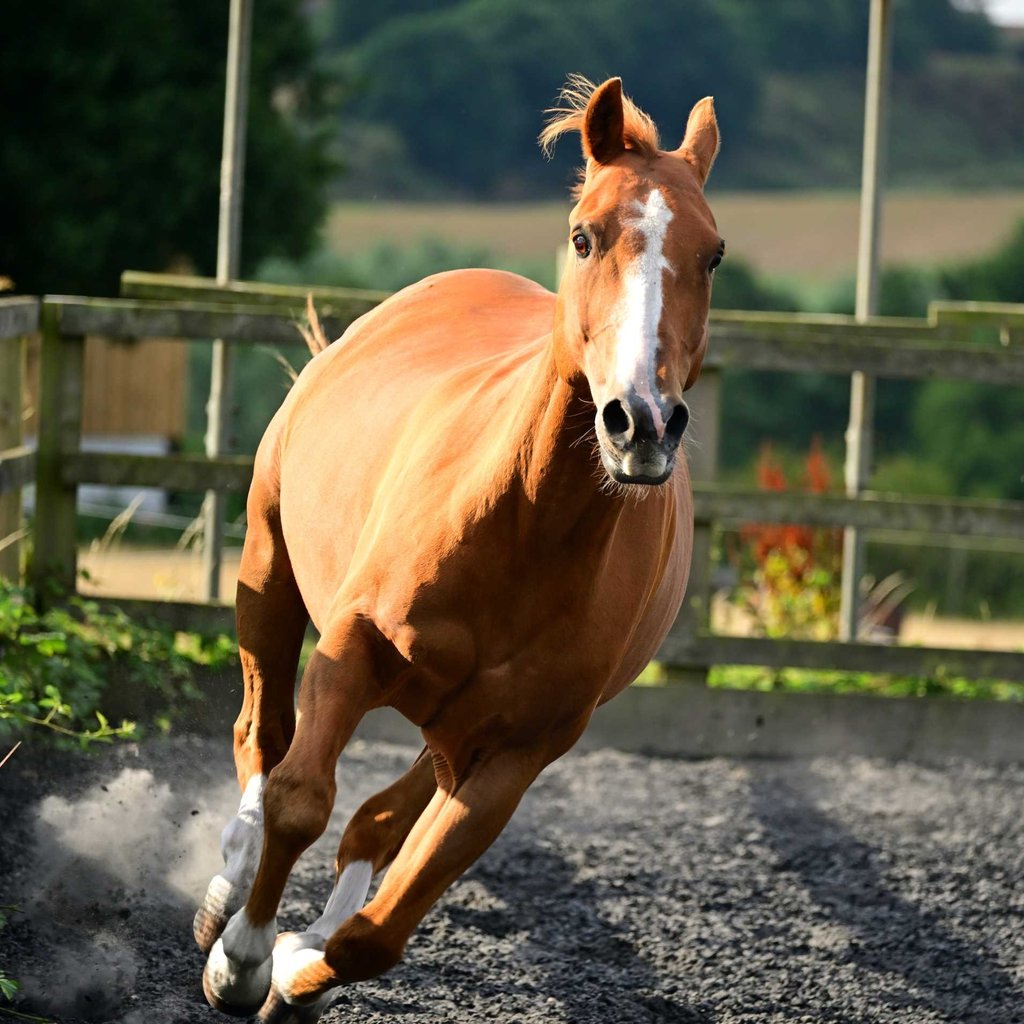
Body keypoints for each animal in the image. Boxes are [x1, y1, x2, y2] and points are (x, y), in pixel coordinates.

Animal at [195, 75, 722, 1022]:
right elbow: (299, 799)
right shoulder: (352, 648)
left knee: (374, 821)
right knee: (263, 738)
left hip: (447, 734)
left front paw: (293, 970)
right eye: (585, 233)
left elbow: (380, 930)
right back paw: (225, 892)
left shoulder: (514, 755)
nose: (641, 422)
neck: (521, 530)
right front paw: (241, 959)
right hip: (267, 569)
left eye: (714, 256)